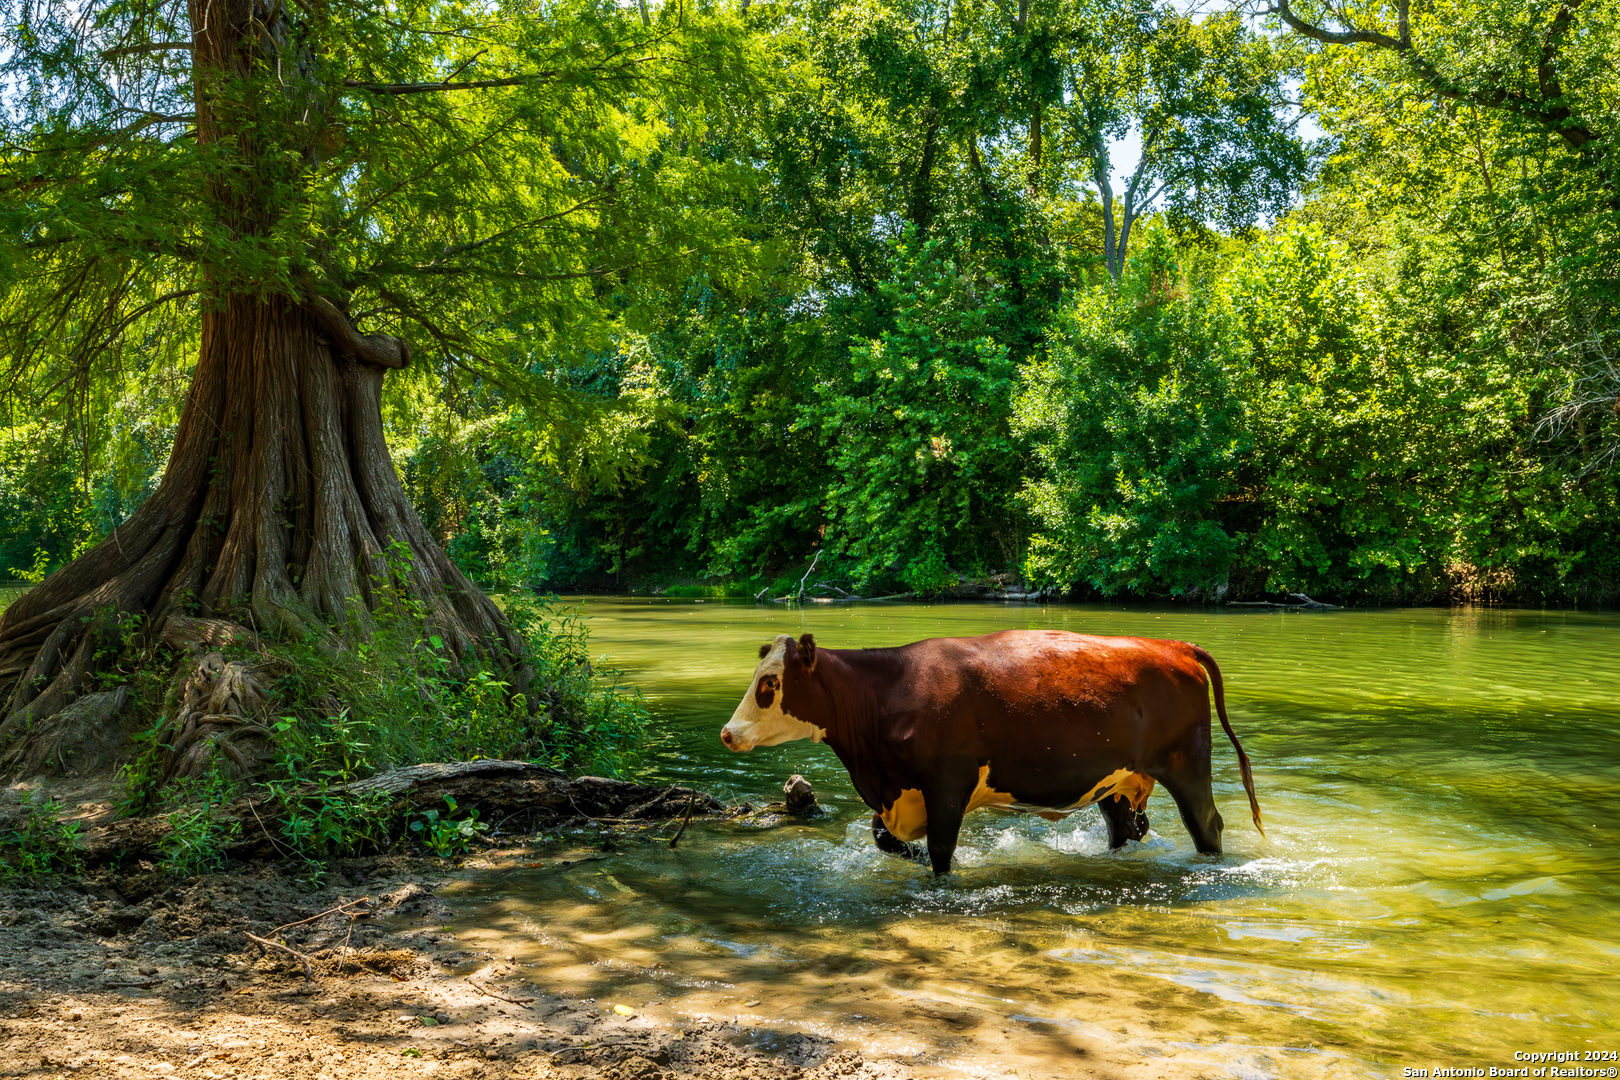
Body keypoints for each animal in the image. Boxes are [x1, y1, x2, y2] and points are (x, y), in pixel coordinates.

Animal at [722, 628, 1263, 874]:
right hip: (1117, 782)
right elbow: (883, 838)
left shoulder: (947, 784)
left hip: (1187, 766)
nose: (728, 733)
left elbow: (941, 851)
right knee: (1124, 829)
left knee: (1207, 825)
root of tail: (1174, 645)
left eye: (770, 684)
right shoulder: (900, 792)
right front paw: (909, 854)